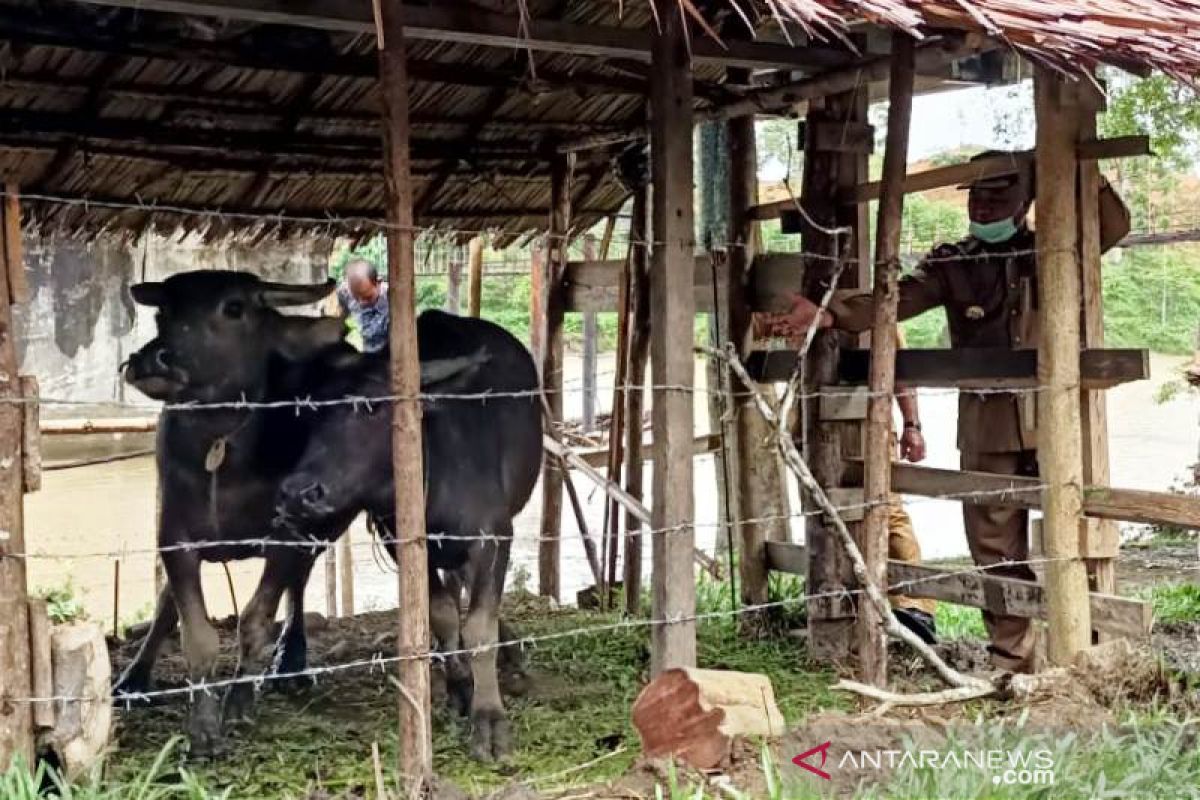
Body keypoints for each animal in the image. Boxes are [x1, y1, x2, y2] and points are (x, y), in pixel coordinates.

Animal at [119, 272, 494, 753]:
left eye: (234, 307)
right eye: (163, 312)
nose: (153, 360)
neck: (222, 453)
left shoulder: (288, 536)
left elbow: (256, 621)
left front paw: (239, 702)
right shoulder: (175, 538)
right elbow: (195, 632)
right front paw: (202, 728)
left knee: (299, 584)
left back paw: (291, 661)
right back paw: (133, 680)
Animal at [274, 309, 542, 762]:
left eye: (370, 407)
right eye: (312, 415)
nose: (298, 492)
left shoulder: (493, 537)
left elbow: (480, 627)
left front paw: (490, 720)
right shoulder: (403, 544)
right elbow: (442, 613)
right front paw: (460, 687)